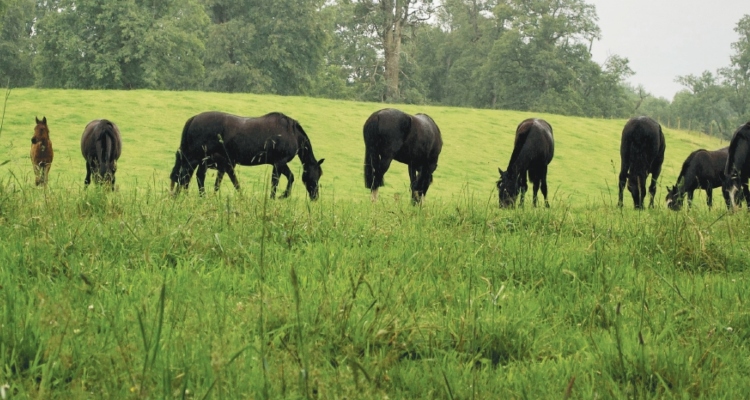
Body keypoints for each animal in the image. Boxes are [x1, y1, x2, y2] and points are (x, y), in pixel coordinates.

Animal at [172, 110, 324, 199]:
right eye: (317, 175)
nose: (315, 196)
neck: (291, 132)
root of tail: (194, 118)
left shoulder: (279, 163)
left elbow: (289, 177)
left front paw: (282, 195)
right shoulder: (279, 162)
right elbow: (277, 182)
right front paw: (277, 197)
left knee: (190, 176)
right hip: (195, 158)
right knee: (186, 175)